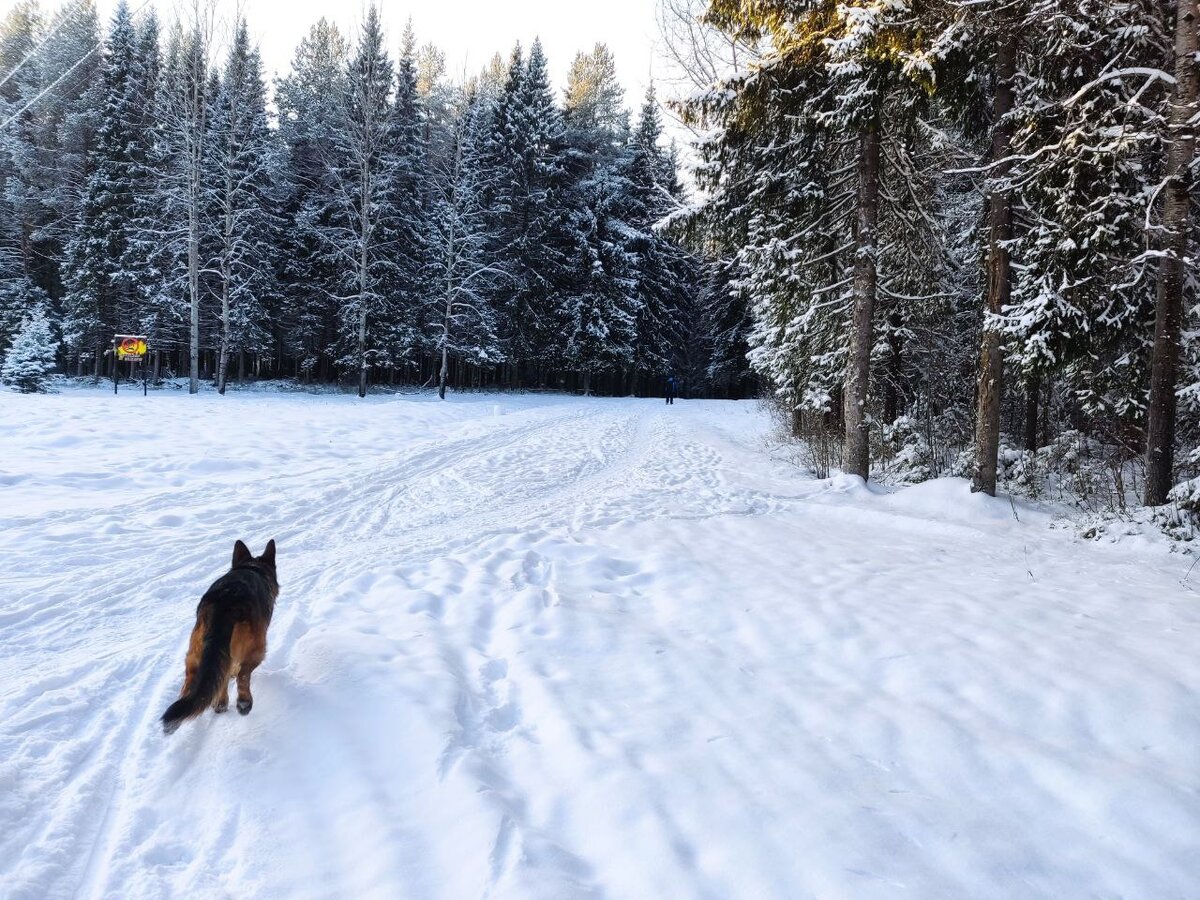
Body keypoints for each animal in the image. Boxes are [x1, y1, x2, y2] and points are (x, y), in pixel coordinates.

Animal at [162, 540, 278, 734]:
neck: (252, 567)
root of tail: (225, 601)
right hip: (258, 649)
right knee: (243, 676)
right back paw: (244, 703)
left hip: (195, 653)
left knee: (193, 684)